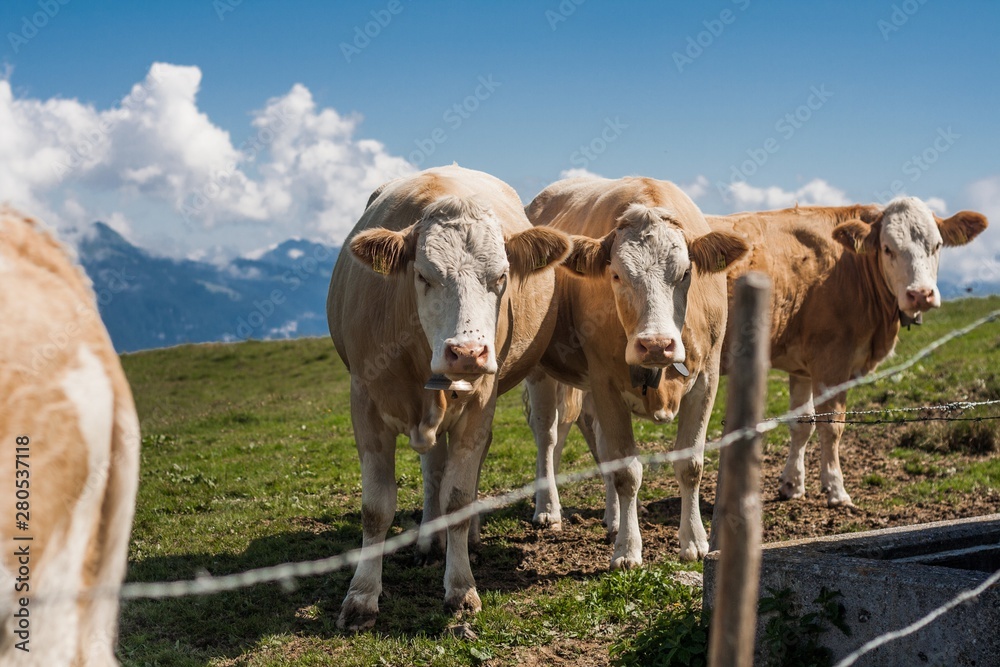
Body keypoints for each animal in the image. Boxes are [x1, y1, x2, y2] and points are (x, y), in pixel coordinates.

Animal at [328, 166, 572, 632]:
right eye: (424, 275)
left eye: (501, 277)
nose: (467, 352)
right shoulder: (364, 403)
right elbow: (376, 508)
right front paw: (361, 596)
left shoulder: (479, 404)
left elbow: (458, 494)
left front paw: (460, 588)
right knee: (432, 469)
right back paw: (429, 538)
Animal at [524, 175, 752, 568]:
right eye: (616, 275)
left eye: (685, 273)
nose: (657, 344)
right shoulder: (605, 383)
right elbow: (627, 471)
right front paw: (628, 549)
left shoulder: (706, 380)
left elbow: (690, 464)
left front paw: (694, 540)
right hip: (543, 372)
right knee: (548, 434)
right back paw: (548, 508)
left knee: (592, 439)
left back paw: (613, 518)